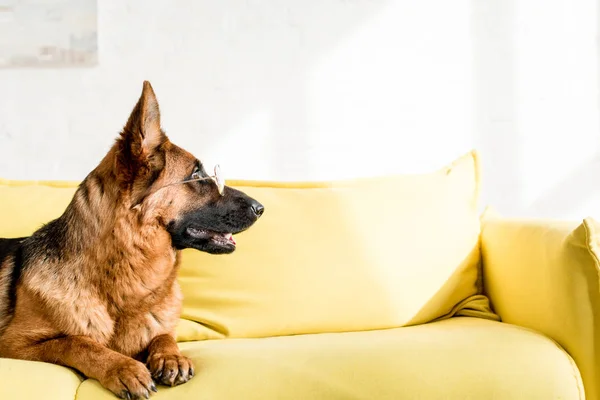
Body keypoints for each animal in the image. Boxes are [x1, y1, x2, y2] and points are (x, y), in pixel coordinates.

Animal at [0, 81, 264, 396]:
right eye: (197, 174)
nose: (261, 208)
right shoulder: (14, 345)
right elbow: (76, 341)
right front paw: (123, 368)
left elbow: (162, 335)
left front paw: (171, 356)